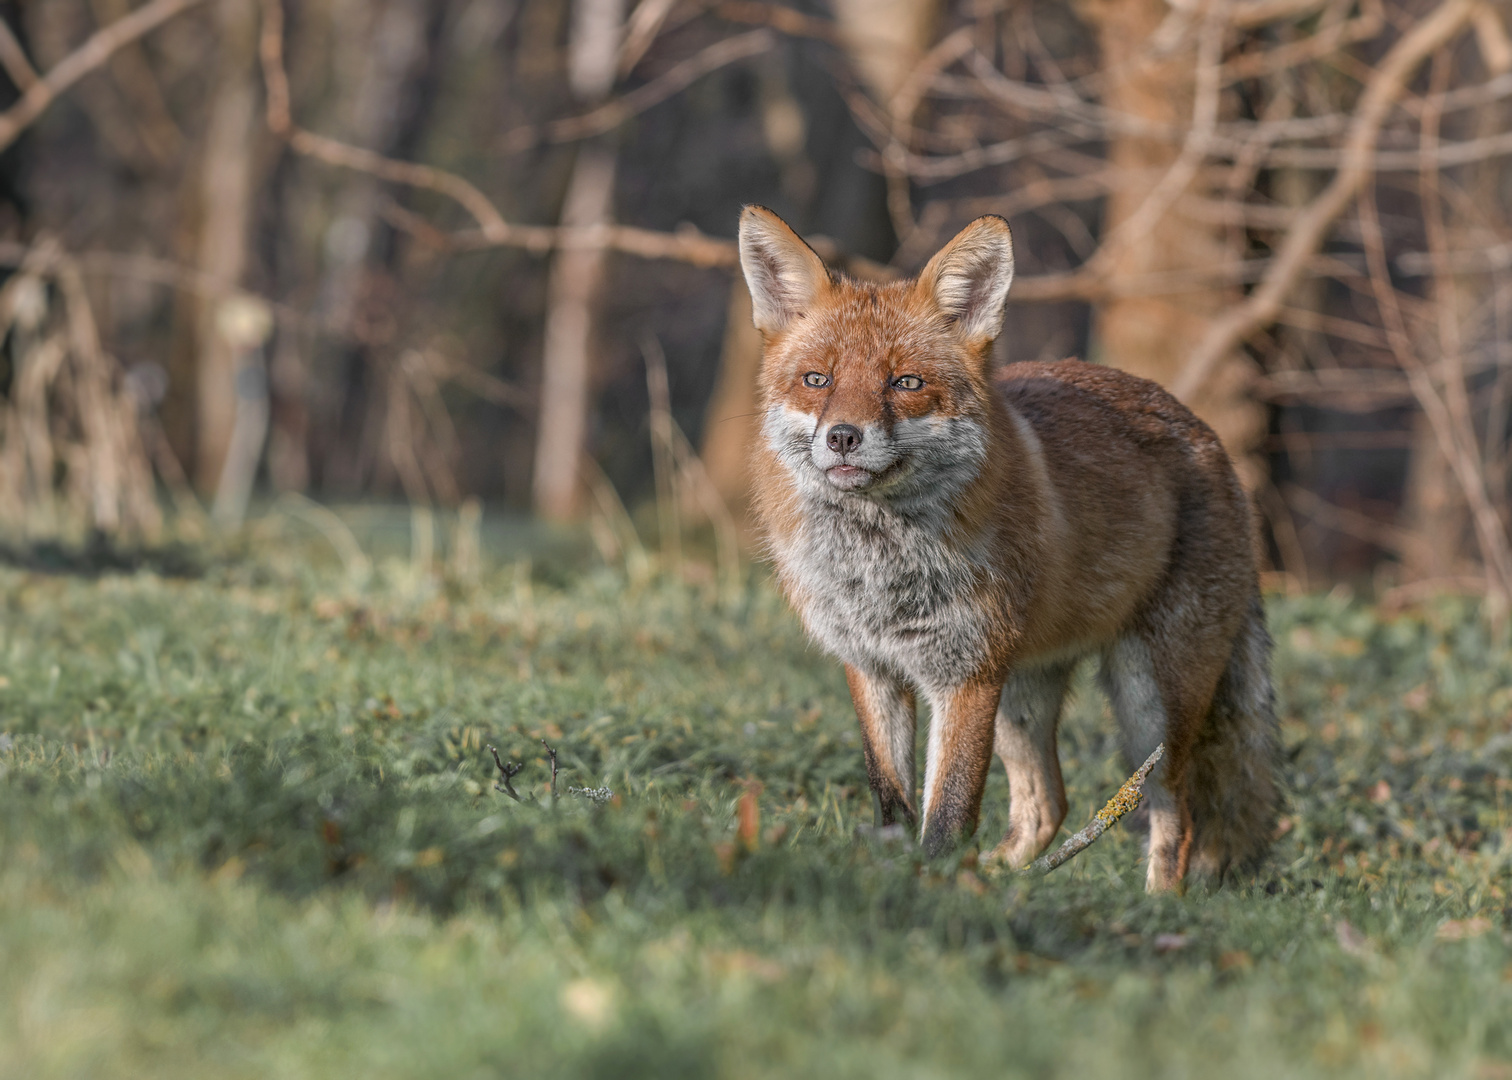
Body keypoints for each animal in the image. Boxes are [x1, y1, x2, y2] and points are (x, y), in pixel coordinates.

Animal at [734, 205, 1276, 889]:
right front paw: (898, 878)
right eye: (817, 380)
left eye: (905, 382)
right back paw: (1007, 885)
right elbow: (893, 804)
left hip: (1147, 703)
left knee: (1173, 816)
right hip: (1024, 696)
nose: (843, 437)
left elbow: (948, 813)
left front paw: (932, 892)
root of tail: (1214, 442)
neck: (880, 567)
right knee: (1048, 805)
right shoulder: (872, 667)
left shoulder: (968, 674)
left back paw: (1153, 902)